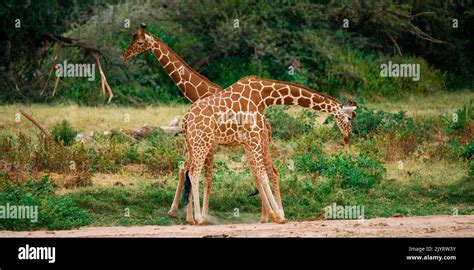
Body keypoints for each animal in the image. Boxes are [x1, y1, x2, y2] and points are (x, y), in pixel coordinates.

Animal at [122, 23, 282, 223]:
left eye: (140, 42)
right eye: (133, 38)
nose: (125, 55)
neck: (201, 92)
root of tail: (268, 125)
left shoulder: (209, 144)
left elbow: (206, 177)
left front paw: (200, 216)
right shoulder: (198, 142)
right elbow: (187, 170)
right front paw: (184, 213)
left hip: (259, 143)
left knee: (270, 173)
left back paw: (272, 215)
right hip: (250, 145)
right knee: (260, 173)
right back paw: (266, 216)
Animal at [181, 75, 356, 224]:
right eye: (348, 118)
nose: (347, 138)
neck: (264, 96)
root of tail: (186, 118)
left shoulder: (250, 140)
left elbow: (259, 175)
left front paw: (275, 214)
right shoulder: (254, 137)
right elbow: (263, 175)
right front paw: (277, 215)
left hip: (191, 144)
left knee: (187, 170)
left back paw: (192, 218)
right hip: (202, 142)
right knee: (194, 173)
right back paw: (199, 218)